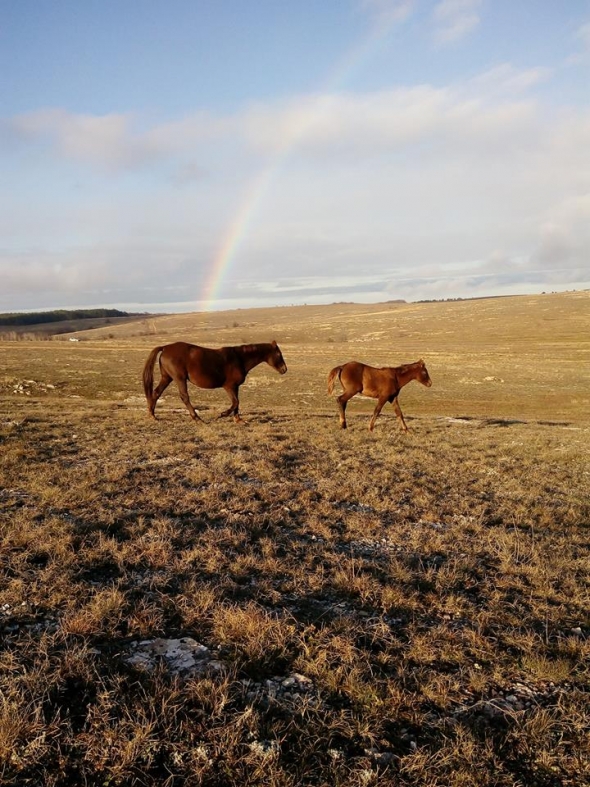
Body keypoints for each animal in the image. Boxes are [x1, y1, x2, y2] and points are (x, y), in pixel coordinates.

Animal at [146, 340, 290, 422]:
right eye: (279, 354)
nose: (284, 369)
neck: (239, 358)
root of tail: (165, 347)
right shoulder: (229, 386)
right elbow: (235, 402)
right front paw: (223, 414)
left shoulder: (235, 387)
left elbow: (237, 403)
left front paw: (238, 419)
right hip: (180, 379)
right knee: (185, 397)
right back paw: (197, 418)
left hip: (167, 378)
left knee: (156, 393)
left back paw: (152, 415)